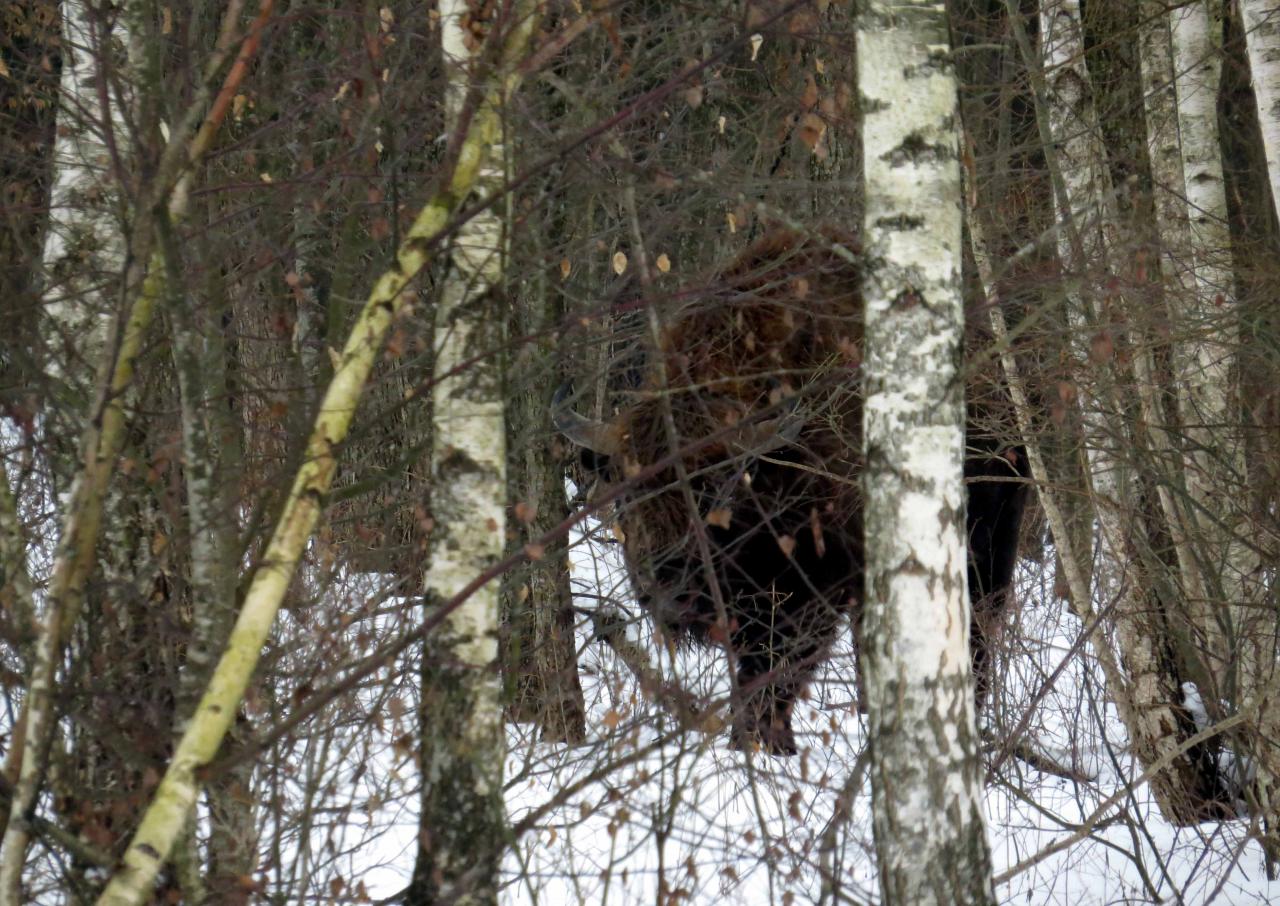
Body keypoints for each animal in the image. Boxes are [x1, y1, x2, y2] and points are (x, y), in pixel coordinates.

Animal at [555, 230, 1024, 752]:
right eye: (625, 492)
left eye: (712, 491)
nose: (668, 591)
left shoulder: (811, 592)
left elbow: (775, 668)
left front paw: (762, 743)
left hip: (984, 558)